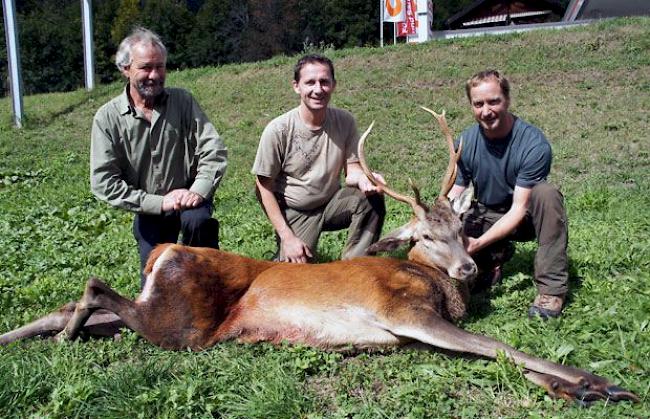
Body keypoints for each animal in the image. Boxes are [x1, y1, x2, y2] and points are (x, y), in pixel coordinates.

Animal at [1, 109, 636, 406]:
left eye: (461, 226)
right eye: (426, 237)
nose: (469, 268)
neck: (432, 286)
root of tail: (163, 250)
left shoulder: (410, 333)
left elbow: (501, 357)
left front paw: (580, 389)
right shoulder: (404, 314)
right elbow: (502, 347)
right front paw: (604, 385)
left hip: (155, 307)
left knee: (74, 308)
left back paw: (25, 338)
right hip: (182, 324)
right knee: (92, 289)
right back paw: (58, 338)